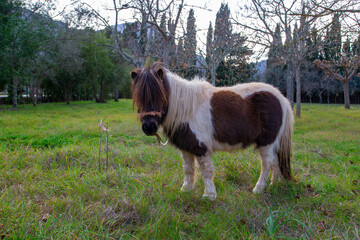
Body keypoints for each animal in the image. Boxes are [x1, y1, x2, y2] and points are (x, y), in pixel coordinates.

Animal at [131, 62, 294, 200]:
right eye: (138, 97)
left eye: (160, 95)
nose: (149, 127)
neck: (187, 108)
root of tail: (281, 97)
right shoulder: (186, 147)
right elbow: (188, 169)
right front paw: (186, 190)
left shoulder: (201, 147)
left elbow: (206, 172)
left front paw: (209, 196)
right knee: (275, 162)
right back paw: (274, 185)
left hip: (266, 142)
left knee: (267, 164)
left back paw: (258, 189)